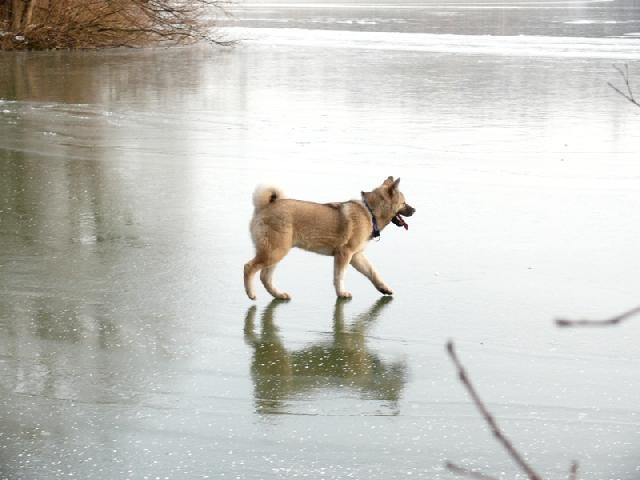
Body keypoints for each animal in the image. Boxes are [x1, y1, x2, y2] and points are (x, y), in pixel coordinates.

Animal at [244, 176, 416, 300]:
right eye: (404, 203)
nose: (414, 210)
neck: (370, 212)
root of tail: (264, 206)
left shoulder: (356, 256)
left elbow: (372, 272)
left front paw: (383, 288)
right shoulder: (344, 254)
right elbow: (339, 276)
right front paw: (342, 293)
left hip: (276, 253)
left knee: (265, 277)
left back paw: (278, 295)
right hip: (275, 252)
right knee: (249, 267)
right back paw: (251, 294)